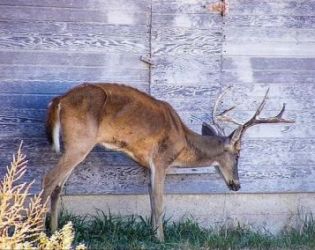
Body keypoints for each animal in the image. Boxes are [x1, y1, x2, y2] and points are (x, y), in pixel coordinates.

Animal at [41, 83, 294, 241]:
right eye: (238, 154)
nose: (237, 185)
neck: (183, 141)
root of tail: (58, 101)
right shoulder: (161, 159)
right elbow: (160, 202)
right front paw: (161, 239)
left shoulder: (147, 165)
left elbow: (152, 201)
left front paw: (152, 235)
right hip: (80, 141)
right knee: (49, 178)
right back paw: (36, 231)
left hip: (74, 145)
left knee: (58, 185)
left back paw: (55, 232)